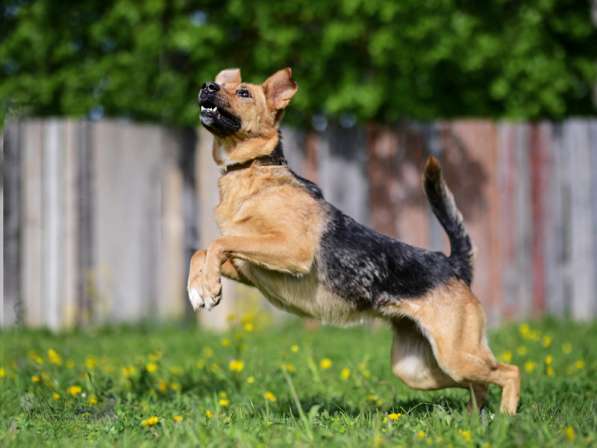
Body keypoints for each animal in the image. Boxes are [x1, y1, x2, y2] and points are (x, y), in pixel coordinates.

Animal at [189, 68, 520, 414]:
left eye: (243, 93)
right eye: (219, 84)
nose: (206, 86)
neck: (252, 168)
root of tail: (452, 263)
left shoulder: (292, 251)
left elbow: (217, 243)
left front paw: (208, 288)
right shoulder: (247, 268)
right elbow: (201, 251)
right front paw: (198, 289)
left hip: (453, 355)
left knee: (509, 371)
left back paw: (507, 417)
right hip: (419, 369)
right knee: (480, 383)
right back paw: (475, 419)